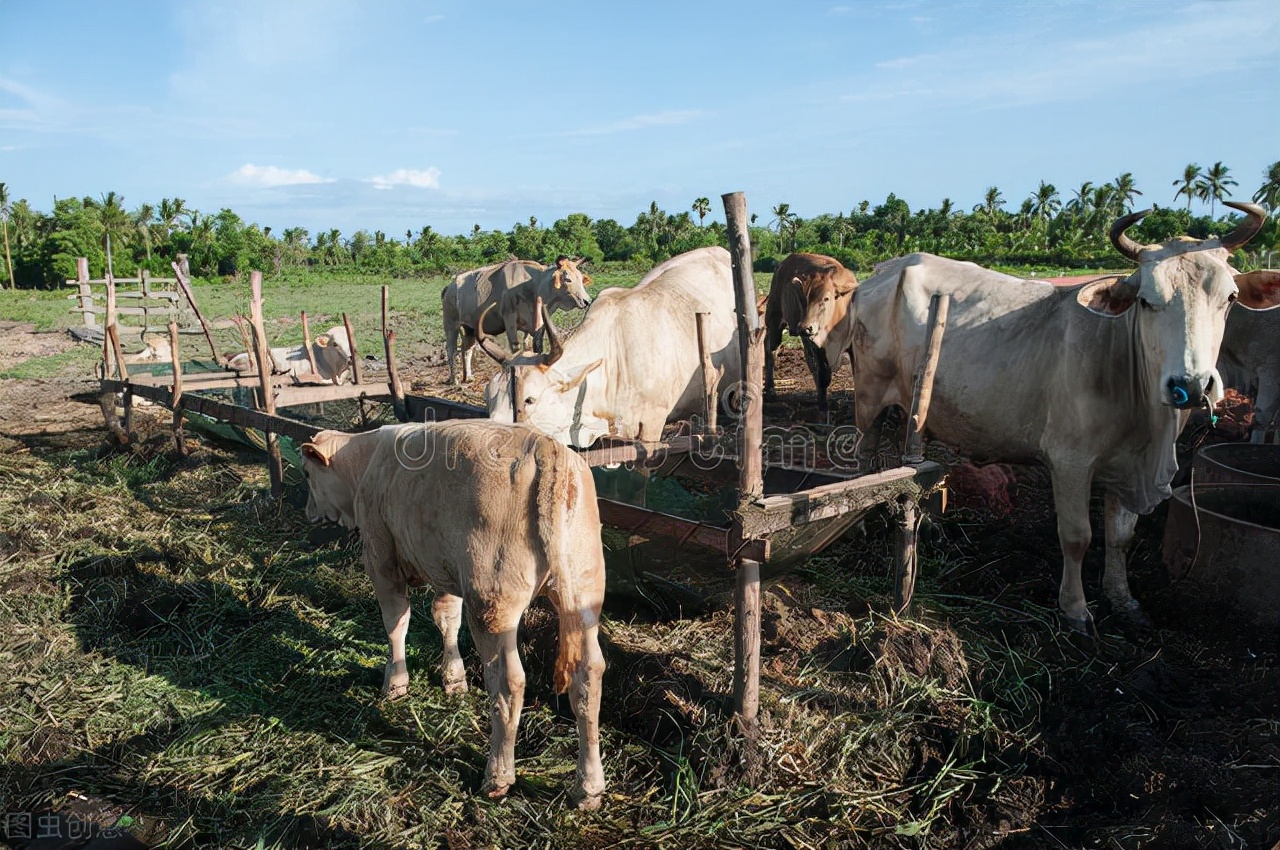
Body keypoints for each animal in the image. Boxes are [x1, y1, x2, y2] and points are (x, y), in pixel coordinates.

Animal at [442, 256, 591, 381]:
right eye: (568, 279)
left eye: (581, 278)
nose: (587, 301)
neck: (534, 286)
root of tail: (449, 287)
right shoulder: (509, 320)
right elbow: (515, 348)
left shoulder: (538, 326)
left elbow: (534, 347)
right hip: (450, 325)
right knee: (451, 350)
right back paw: (454, 380)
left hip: (470, 328)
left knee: (467, 349)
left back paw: (468, 377)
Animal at [757, 250, 860, 412]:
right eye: (803, 300)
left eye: (826, 298)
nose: (805, 327)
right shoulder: (816, 343)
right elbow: (823, 372)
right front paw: (823, 402)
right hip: (774, 318)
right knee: (771, 349)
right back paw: (771, 389)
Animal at [855, 204, 1264, 629]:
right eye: (1146, 301)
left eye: (1230, 298)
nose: (1191, 384)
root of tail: (886, 269)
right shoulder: (1070, 460)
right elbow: (1077, 535)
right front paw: (1075, 609)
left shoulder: (1128, 465)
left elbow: (1120, 537)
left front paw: (1123, 598)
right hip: (869, 397)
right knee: (865, 458)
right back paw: (866, 522)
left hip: (911, 405)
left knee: (910, 461)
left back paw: (926, 522)